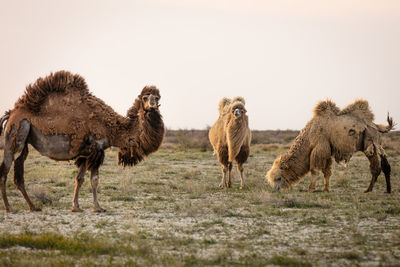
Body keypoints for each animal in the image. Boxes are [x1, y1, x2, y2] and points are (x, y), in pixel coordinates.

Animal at [0, 71, 165, 214]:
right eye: (145, 97)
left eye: (158, 97)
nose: (152, 104)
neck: (113, 129)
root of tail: (11, 113)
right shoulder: (97, 149)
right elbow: (94, 180)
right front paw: (98, 208)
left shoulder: (85, 153)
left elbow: (79, 179)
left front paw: (76, 207)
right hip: (15, 135)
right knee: (5, 170)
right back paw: (9, 208)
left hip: (24, 141)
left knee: (19, 174)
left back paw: (33, 207)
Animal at [266, 99, 394, 194]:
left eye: (278, 177)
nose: (275, 189)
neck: (309, 135)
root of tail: (377, 126)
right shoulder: (327, 150)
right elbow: (327, 172)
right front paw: (326, 189)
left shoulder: (320, 148)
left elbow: (315, 170)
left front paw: (311, 188)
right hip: (378, 144)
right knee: (386, 165)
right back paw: (388, 190)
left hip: (370, 142)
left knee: (376, 168)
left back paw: (368, 190)